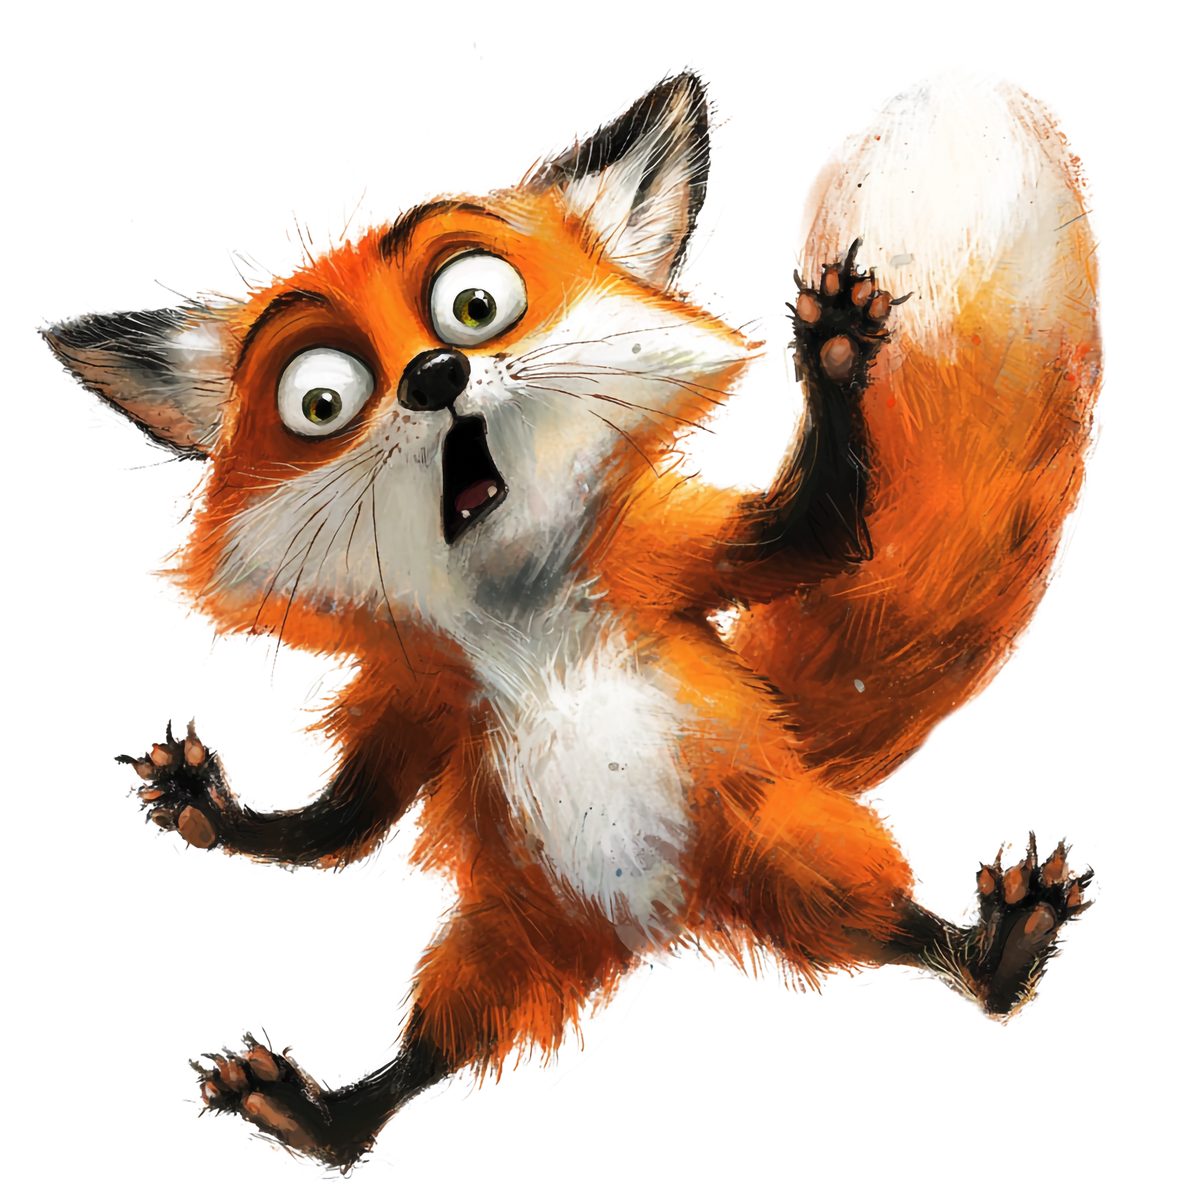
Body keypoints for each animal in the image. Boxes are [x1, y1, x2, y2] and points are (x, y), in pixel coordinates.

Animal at [34, 56, 1106, 1181]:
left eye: (474, 306)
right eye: (321, 401)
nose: (435, 377)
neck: (524, 613)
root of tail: (660, 921)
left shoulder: (663, 557)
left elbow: (817, 537)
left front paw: (838, 360)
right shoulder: (422, 698)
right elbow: (342, 827)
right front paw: (211, 809)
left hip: (783, 843)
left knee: (889, 927)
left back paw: (996, 953)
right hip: (508, 932)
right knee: (435, 1046)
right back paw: (317, 1121)